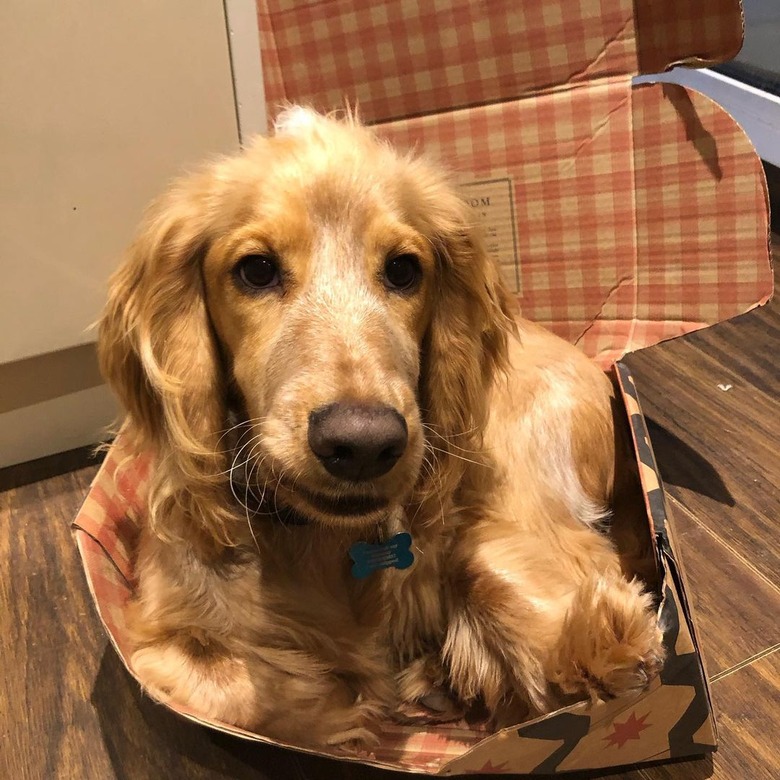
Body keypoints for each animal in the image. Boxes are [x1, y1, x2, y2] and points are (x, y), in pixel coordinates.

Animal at [99, 106, 664, 748]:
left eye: (403, 269)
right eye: (256, 270)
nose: (363, 444)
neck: (322, 541)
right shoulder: (161, 631)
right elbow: (242, 684)